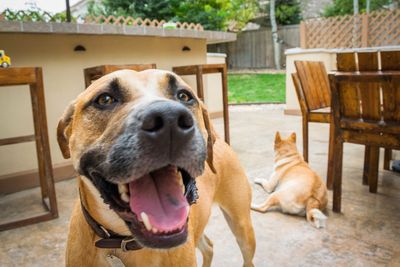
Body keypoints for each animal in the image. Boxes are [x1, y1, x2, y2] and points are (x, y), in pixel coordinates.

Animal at [56, 69, 256, 267]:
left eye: (184, 95)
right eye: (104, 99)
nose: (170, 119)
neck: (122, 241)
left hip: (242, 227)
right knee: (209, 246)